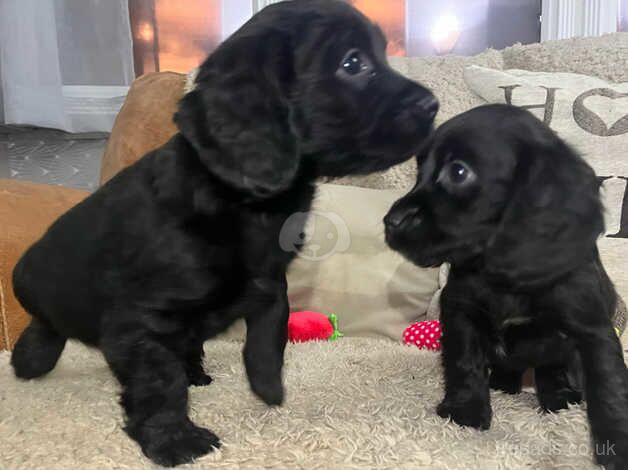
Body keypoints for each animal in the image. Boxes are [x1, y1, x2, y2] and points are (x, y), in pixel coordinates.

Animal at [9, 0, 440, 466]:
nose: (433, 105)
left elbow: (266, 342)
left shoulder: (269, 285)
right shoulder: (139, 322)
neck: (238, 201)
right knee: (45, 328)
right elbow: (159, 384)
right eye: (353, 62)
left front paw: (269, 391)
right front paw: (174, 440)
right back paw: (30, 358)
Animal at [386, 104, 624, 468]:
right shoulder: (460, 313)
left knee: (551, 369)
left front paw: (614, 446)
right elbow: (463, 363)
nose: (390, 222)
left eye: (458, 172)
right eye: (419, 169)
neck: (504, 276)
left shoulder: (591, 331)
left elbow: (607, 387)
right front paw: (465, 411)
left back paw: (559, 397)